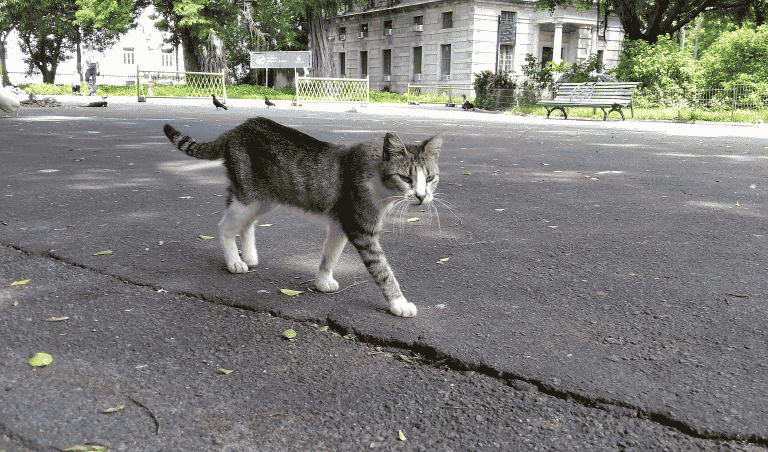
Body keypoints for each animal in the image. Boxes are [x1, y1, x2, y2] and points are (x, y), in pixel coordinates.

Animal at [164, 117, 438, 318]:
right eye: (405, 178)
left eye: (430, 178)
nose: (422, 196)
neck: (377, 177)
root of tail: (236, 129)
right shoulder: (360, 229)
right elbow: (383, 270)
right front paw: (399, 303)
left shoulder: (340, 225)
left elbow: (330, 255)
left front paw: (322, 281)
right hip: (248, 196)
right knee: (225, 226)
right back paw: (235, 261)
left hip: (263, 198)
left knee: (247, 222)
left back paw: (249, 256)